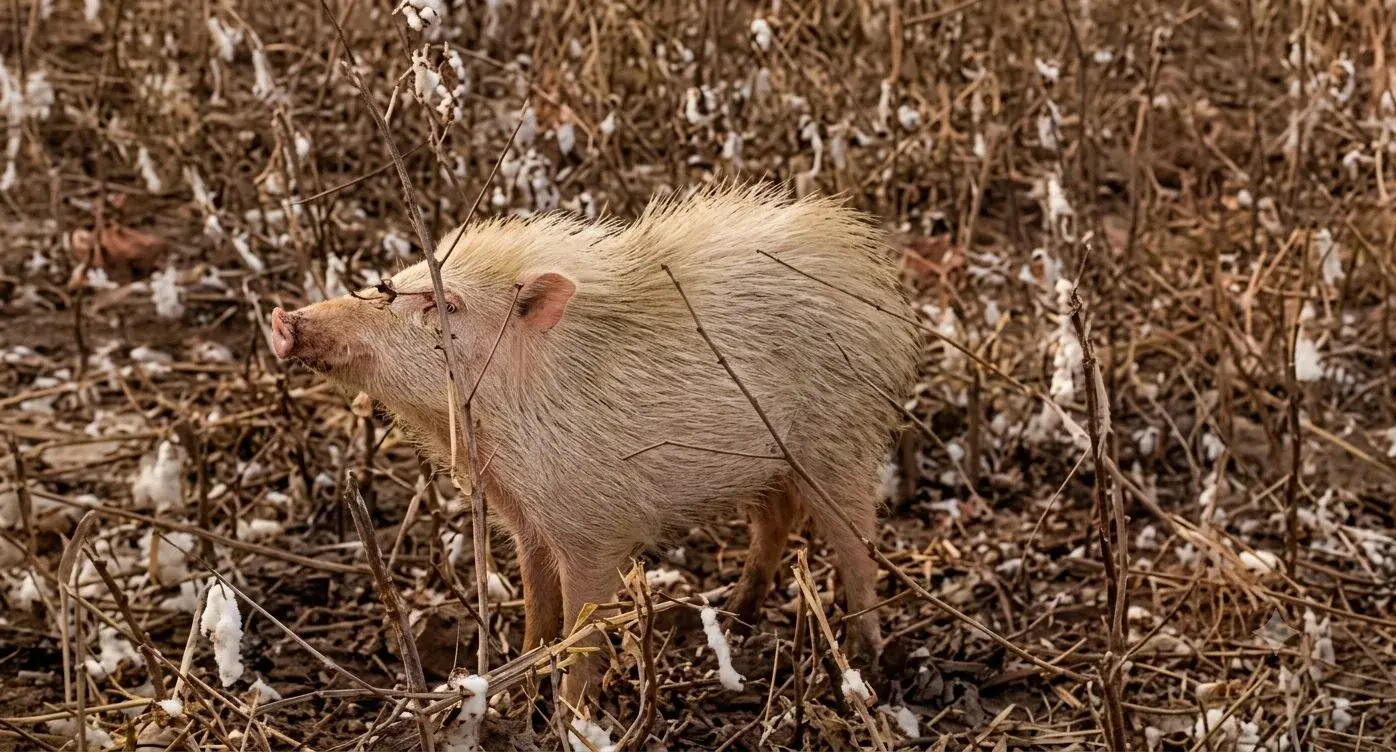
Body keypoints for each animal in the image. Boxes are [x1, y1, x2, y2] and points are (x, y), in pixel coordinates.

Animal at [270, 184, 921, 705]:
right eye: (395, 282)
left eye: (445, 303)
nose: (284, 320)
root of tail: (873, 277)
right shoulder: (525, 520)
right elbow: (537, 606)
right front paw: (512, 694)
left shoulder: (592, 531)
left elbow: (581, 630)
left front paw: (573, 714)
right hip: (766, 465)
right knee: (776, 520)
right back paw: (731, 617)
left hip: (837, 442)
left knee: (856, 539)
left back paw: (866, 665)